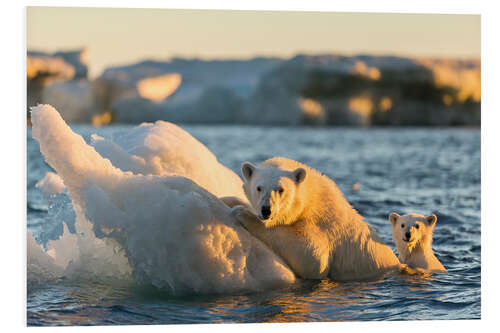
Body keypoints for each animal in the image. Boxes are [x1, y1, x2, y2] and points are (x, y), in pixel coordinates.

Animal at [229, 157, 404, 282]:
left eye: (280, 189)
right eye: (259, 188)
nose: (266, 210)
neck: (311, 197)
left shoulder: (322, 224)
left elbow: (314, 257)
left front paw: (243, 213)